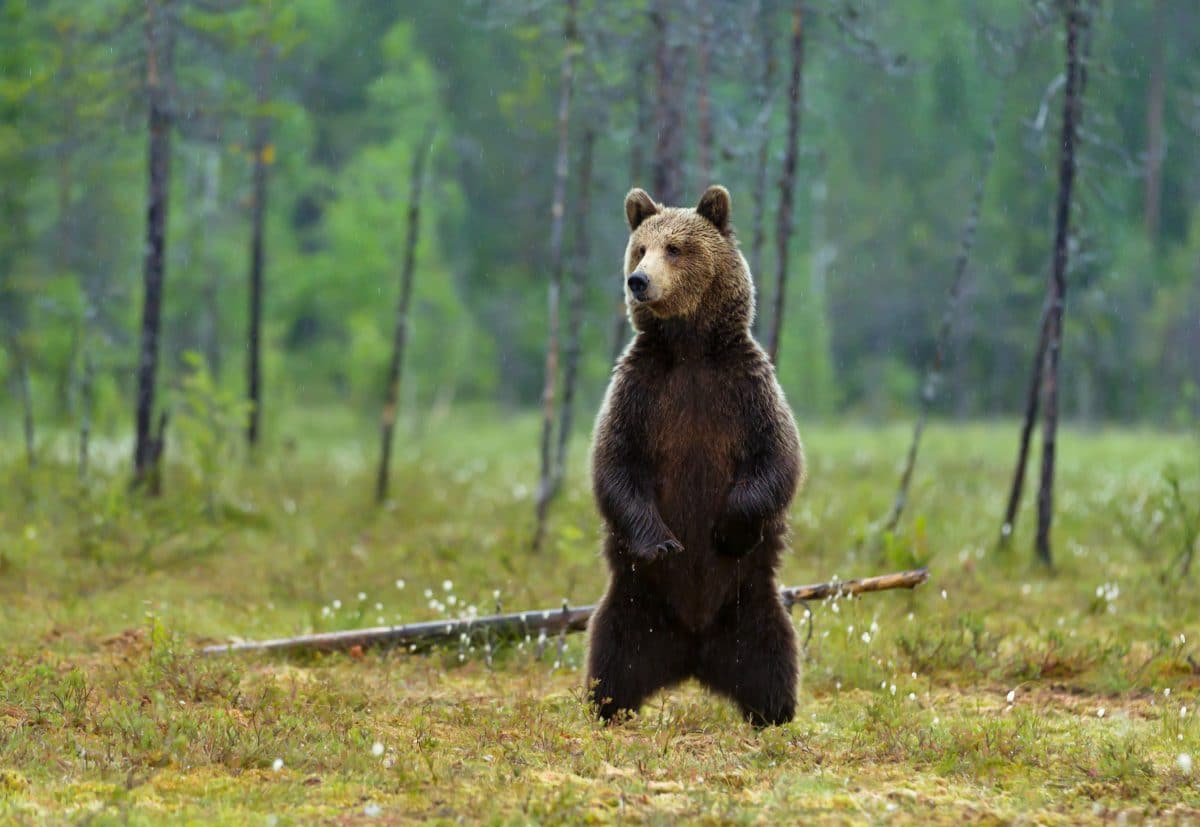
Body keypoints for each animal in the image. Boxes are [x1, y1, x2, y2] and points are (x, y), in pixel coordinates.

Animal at [583, 182, 806, 720]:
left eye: (675, 248)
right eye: (640, 248)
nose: (638, 281)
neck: (688, 349)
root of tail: (693, 650)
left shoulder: (743, 388)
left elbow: (777, 458)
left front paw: (728, 528)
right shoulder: (641, 392)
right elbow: (615, 465)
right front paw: (664, 543)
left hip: (751, 603)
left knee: (774, 655)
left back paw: (774, 712)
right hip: (633, 606)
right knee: (610, 654)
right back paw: (606, 706)